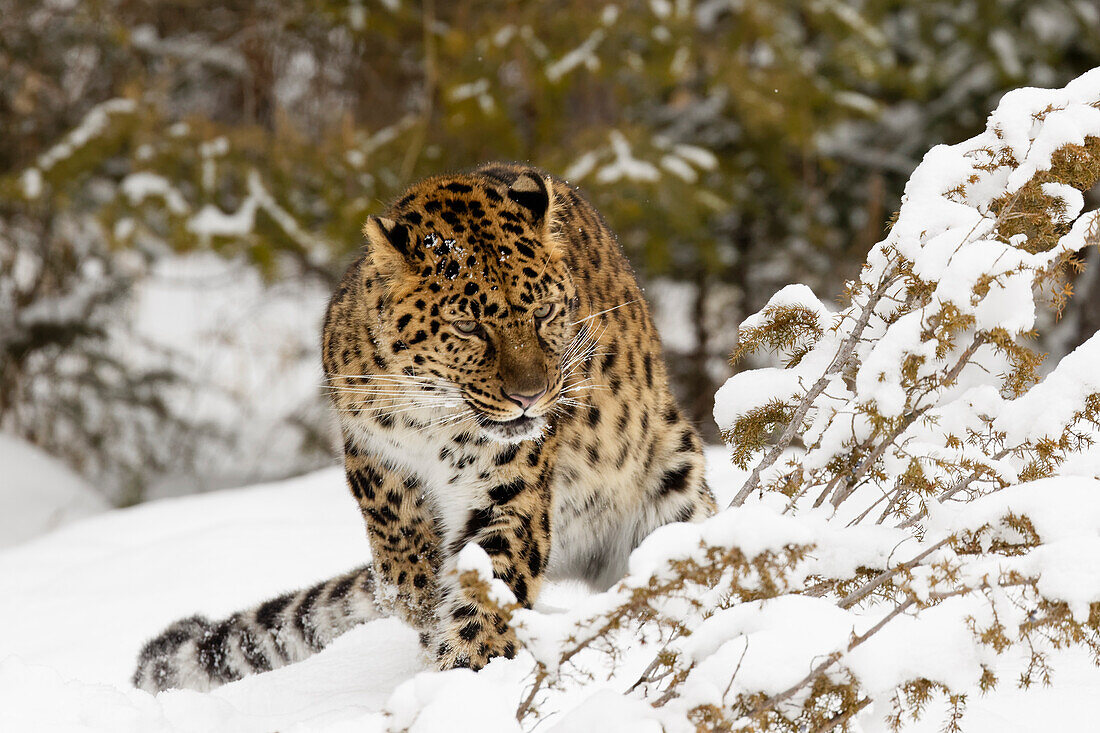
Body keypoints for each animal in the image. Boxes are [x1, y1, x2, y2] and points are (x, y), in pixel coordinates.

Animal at [133, 161, 717, 691]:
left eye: (545, 313)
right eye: (468, 326)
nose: (530, 397)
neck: (431, 415)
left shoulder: (509, 487)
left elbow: (489, 578)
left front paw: (466, 674)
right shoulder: (367, 449)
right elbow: (397, 536)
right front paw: (419, 600)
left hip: (674, 482)